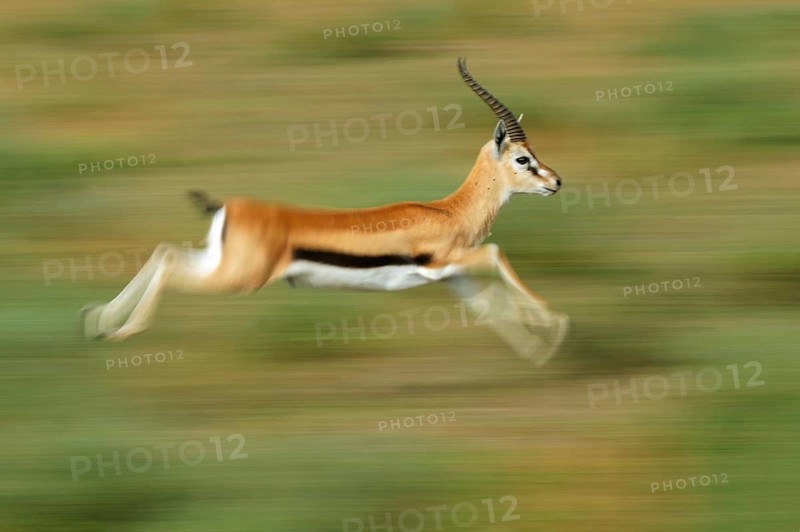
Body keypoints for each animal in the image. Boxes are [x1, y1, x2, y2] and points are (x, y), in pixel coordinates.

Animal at [82, 58, 569, 363]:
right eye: (523, 159)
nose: (555, 182)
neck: (449, 211)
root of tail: (228, 206)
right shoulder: (447, 261)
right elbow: (497, 255)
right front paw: (558, 325)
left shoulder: (450, 275)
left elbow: (489, 304)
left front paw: (538, 351)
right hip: (238, 278)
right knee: (168, 263)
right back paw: (122, 331)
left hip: (219, 263)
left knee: (165, 251)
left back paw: (99, 322)